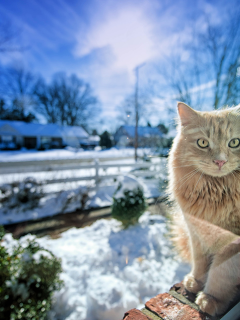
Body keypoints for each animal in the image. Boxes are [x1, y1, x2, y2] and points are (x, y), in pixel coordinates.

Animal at [168, 102, 240, 316]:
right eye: (202, 143)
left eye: (235, 142)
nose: (220, 161)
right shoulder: (197, 233)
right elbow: (200, 263)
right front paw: (195, 282)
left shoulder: (232, 245)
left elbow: (221, 273)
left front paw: (211, 299)